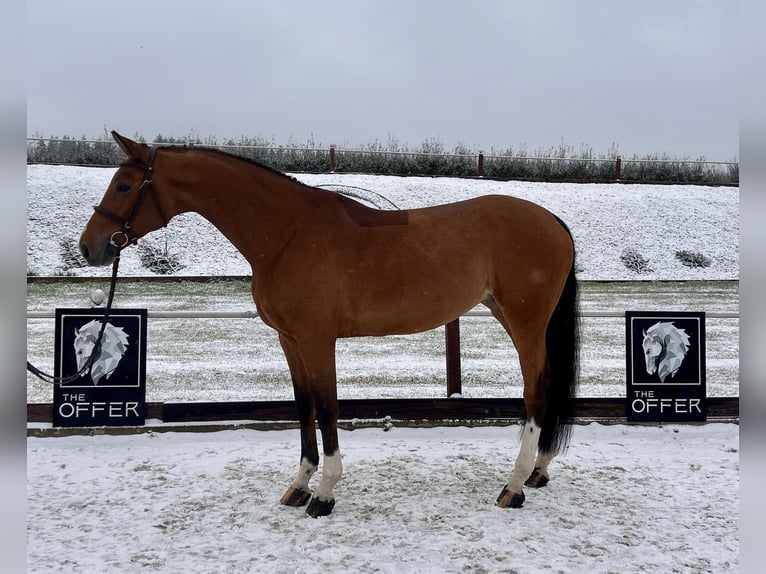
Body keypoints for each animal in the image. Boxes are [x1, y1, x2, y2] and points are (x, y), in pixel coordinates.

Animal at [79, 133, 584, 520]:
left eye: (124, 186)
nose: (89, 248)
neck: (286, 234)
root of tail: (552, 222)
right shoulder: (290, 341)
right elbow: (303, 408)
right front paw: (299, 485)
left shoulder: (317, 341)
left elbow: (326, 409)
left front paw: (323, 494)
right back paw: (537, 472)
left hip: (524, 323)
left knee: (535, 393)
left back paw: (513, 487)